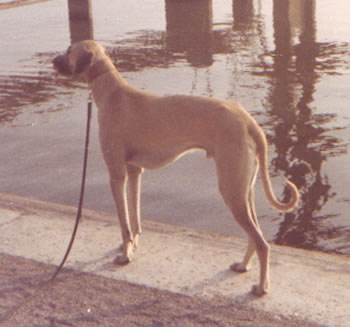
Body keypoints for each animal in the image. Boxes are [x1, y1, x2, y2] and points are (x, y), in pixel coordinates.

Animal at [53, 39, 300, 296]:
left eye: (69, 50)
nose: (52, 61)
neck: (113, 93)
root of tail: (247, 119)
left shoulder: (117, 174)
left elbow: (124, 223)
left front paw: (125, 255)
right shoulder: (134, 171)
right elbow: (135, 219)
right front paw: (131, 247)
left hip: (231, 190)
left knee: (262, 243)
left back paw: (261, 287)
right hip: (243, 190)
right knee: (255, 235)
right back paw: (243, 266)